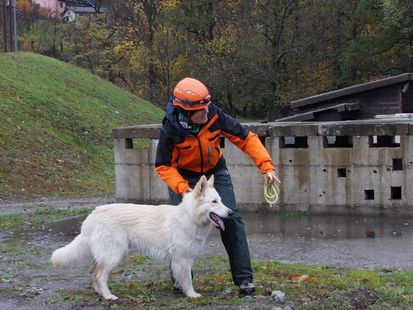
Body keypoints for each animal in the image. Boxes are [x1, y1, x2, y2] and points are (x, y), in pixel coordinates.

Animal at [50, 177, 232, 300]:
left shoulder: (184, 258)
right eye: (214, 202)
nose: (231, 213)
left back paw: (99, 293)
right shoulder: (182, 258)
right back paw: (108, 296)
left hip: (102, 254)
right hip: (113, 254)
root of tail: (92, 215)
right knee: (99, 275)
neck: (190, 216)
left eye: (221, 200)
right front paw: (192, 294)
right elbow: (187, 279)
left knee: (92, 272)